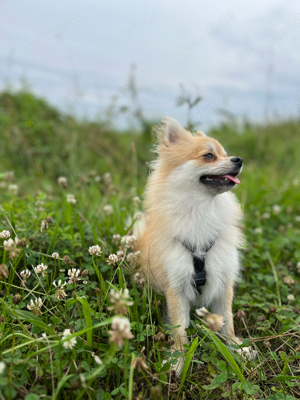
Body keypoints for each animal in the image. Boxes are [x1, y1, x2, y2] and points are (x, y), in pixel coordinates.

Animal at [135, 117, 254, 374]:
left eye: (225, 154)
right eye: (209, 156)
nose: (238, 160)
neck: (202, 209)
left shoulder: (223, 281)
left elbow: (227, 322)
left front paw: (236, 348)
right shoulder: (177, 286)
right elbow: (180, 331)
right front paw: (178, 358)